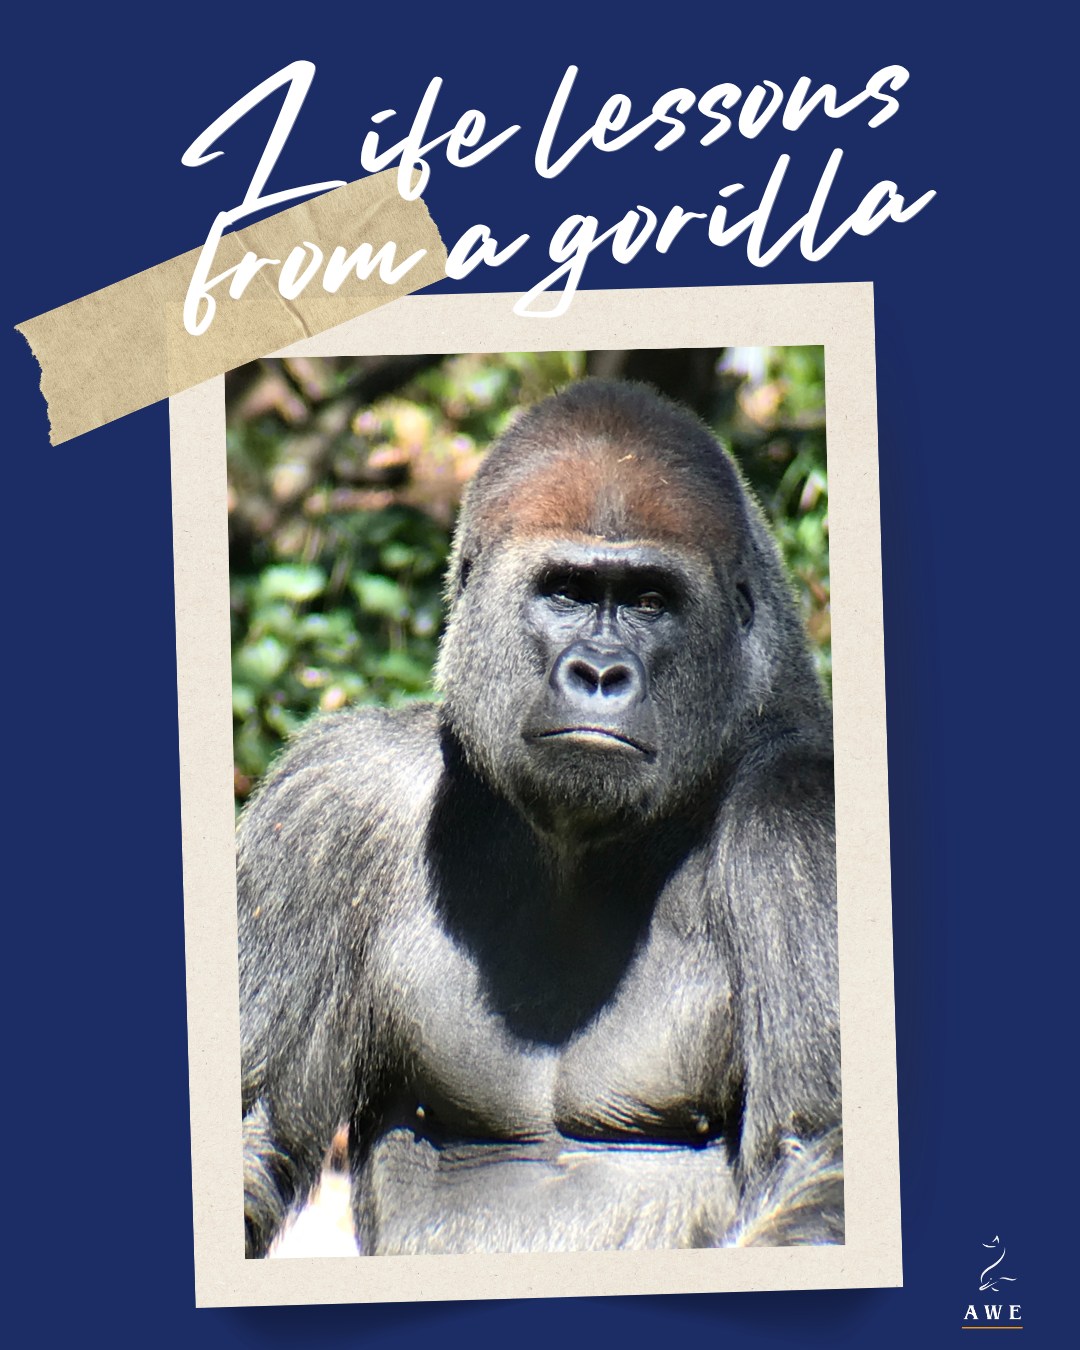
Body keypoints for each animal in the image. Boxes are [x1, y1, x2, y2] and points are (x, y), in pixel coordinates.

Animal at [238, 378, 842, 1257]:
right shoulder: (328, 799)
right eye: (565, 592)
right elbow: (251, 1128)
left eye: (651, 601)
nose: (600, 672)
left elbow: (822, 1153)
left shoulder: (802, 817)